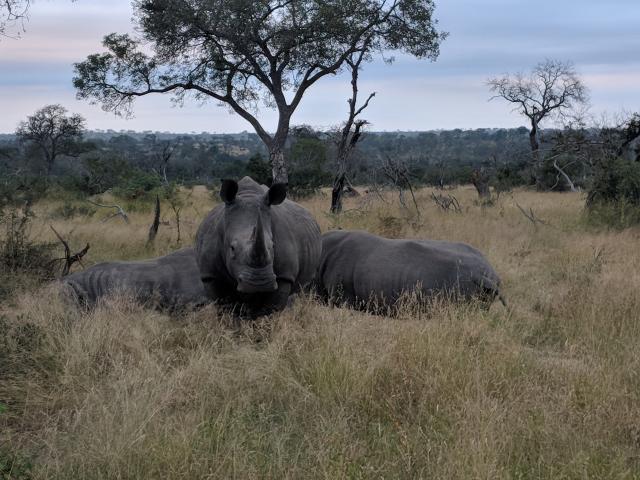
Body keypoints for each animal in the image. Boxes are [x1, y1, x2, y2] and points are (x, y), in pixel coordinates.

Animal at [195, 176, 322, 316]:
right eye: (232, 248)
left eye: (273, 246)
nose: (260, 283)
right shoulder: (211, 275)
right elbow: (225, 307)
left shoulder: (284, 276)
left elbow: (272, 309)